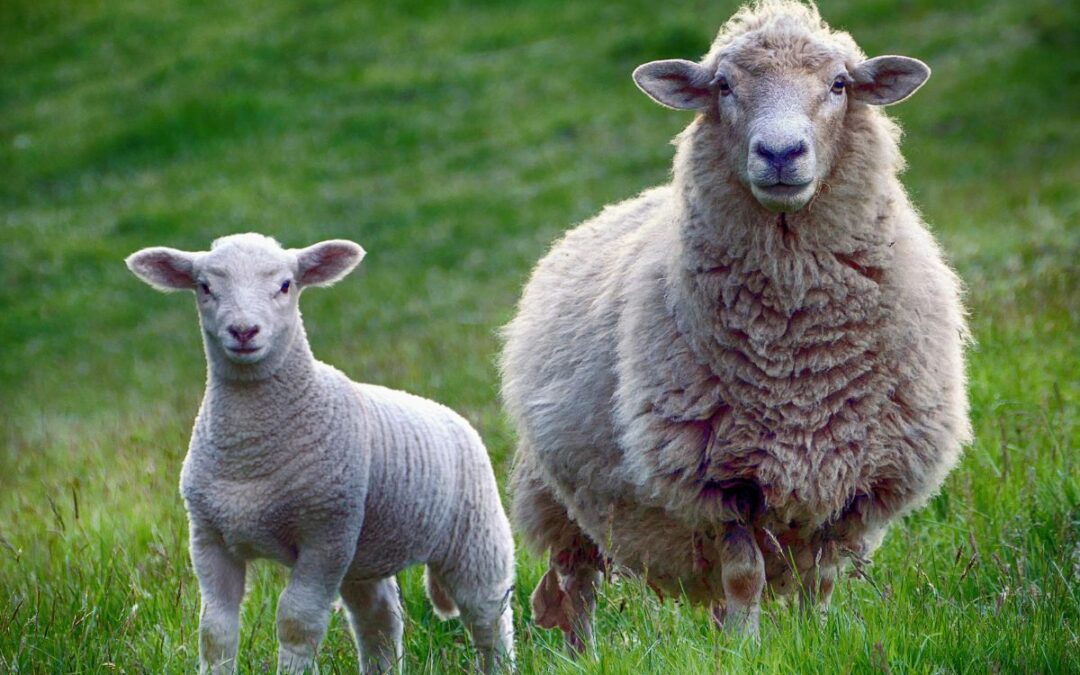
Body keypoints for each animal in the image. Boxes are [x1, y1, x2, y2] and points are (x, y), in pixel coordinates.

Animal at [126, 233, 514, 673]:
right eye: (205, 287)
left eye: (285, 285)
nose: (243, 331)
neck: (249, 453)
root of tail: (452, 415)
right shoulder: (209, 537)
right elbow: (215, 629)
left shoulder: (325, 534)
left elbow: (297, 621)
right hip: (365, 553)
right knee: (379, 619)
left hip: (475, 535)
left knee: (489, 616)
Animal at [503, 1, 972, 652]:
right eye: (723, 86)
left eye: (839, 84)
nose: (780, 153)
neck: (799, 357)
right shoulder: (720, 484)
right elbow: (745, 577)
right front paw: (747, 651)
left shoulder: (853, 480)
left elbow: (821, 580)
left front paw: (814, 641)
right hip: (556, 498)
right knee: (576, 587)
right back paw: (584, 656)